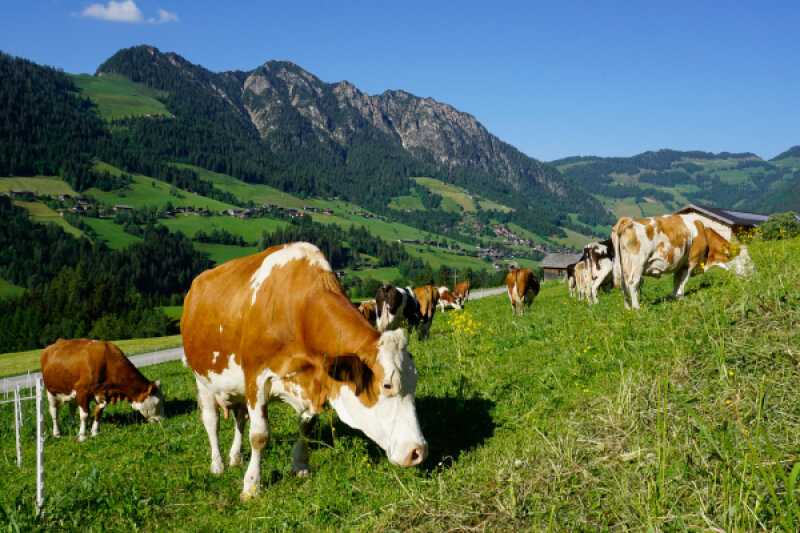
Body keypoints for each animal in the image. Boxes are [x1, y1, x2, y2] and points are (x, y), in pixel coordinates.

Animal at [181, 242, 427, 500]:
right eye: (387, 384)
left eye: (415, 381)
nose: (418, 452)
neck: (297, 311)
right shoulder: (255, 378)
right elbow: (259, 435)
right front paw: (251, 485)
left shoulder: (315, 381)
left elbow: (306, 426)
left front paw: (300, 465)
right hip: (202, 379)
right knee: (212, 421)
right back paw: (217, 464)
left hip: (235, 386)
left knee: (239, 418)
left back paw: (235, 457)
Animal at [612, 214, 755, 309]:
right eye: (747, 262)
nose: (755, 276)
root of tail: (627, 219)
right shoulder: (691, 261)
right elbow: (684, 280)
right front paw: (680, 296)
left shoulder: (680, 263)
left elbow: (676, 280)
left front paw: (673, 296)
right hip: (638, 262)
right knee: (633, 283)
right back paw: (637, 307)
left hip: (622, 265)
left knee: (623, 285)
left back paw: (628, 307)